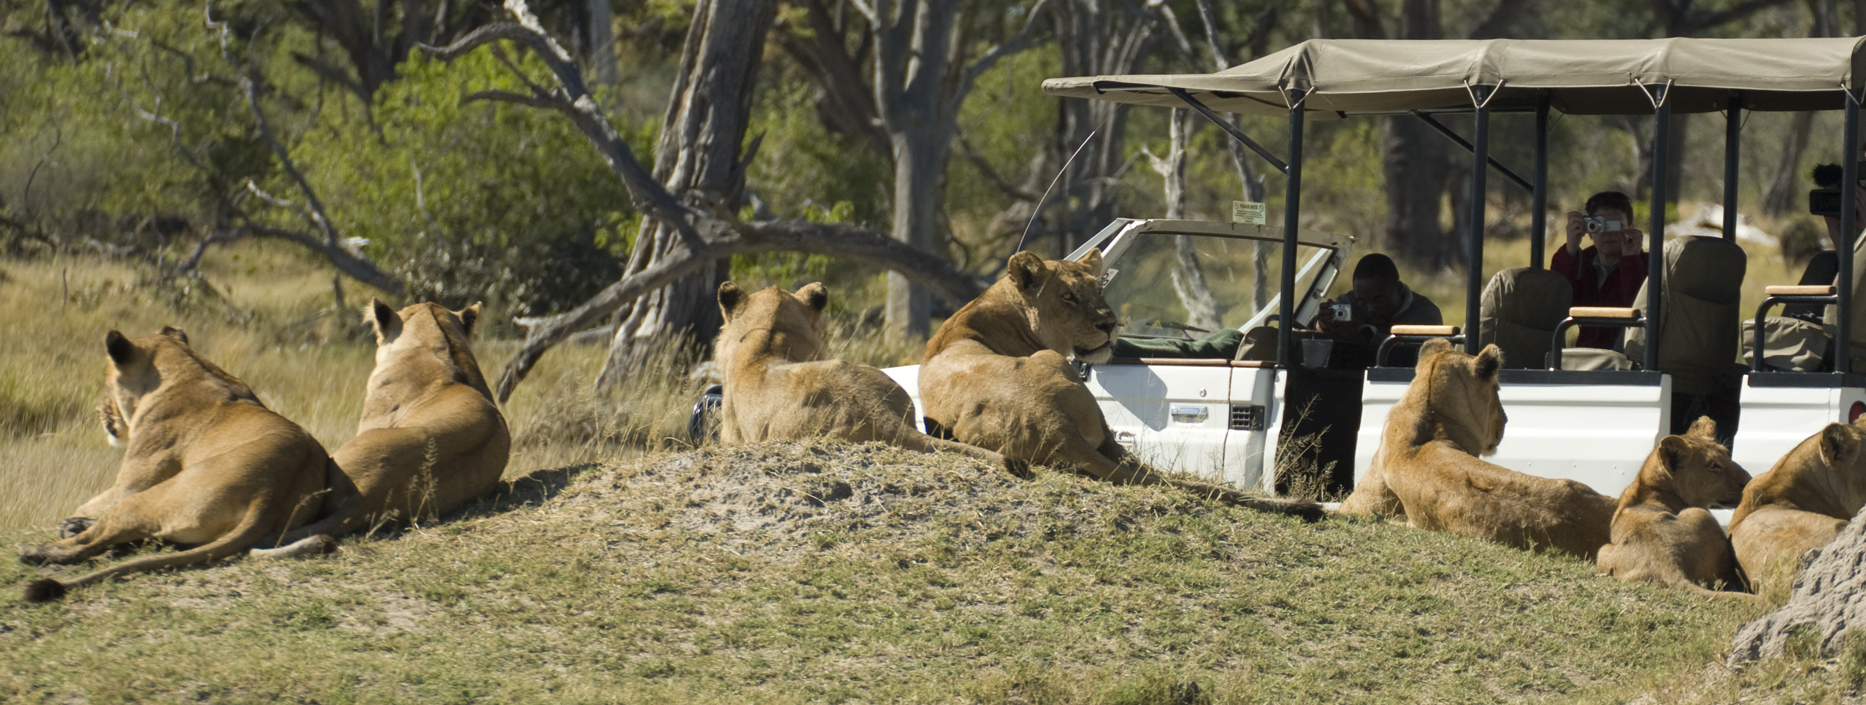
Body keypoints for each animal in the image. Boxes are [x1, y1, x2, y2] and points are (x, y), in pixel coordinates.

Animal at [19, 328, 333, 601]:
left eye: (104, 382)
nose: (98, 409)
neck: (187, 368)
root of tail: (269, 496)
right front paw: (74, 522)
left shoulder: (130, 485)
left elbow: (87, 505)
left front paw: (69, 523)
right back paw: (75, 530)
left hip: (150, 497)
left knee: (92, 542)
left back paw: (40, 549)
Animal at [1595, 416, 1754, 597]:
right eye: (1712, 465)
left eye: (1728, 455)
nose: (1750, 480)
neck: (1648, 485)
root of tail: (1667, 563)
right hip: (1700, 514)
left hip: (1602, 551)